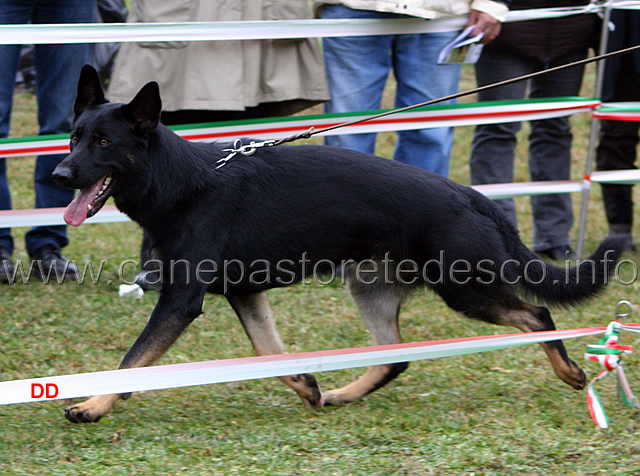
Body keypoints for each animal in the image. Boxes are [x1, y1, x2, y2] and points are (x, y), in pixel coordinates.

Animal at [53, 64, 624, 424]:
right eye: (74, 137)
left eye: (103, 142)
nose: (59, 175)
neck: (182, 183)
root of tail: (469, 194)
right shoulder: (245, 295)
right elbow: (267, 350)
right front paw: (306, 386)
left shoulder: (179, 303)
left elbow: (133, 360)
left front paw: (92, 406)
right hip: (371, 290)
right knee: (395, 358)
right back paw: (341, 393)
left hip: (465, 290)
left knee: (538, 316)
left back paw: (570, 371)